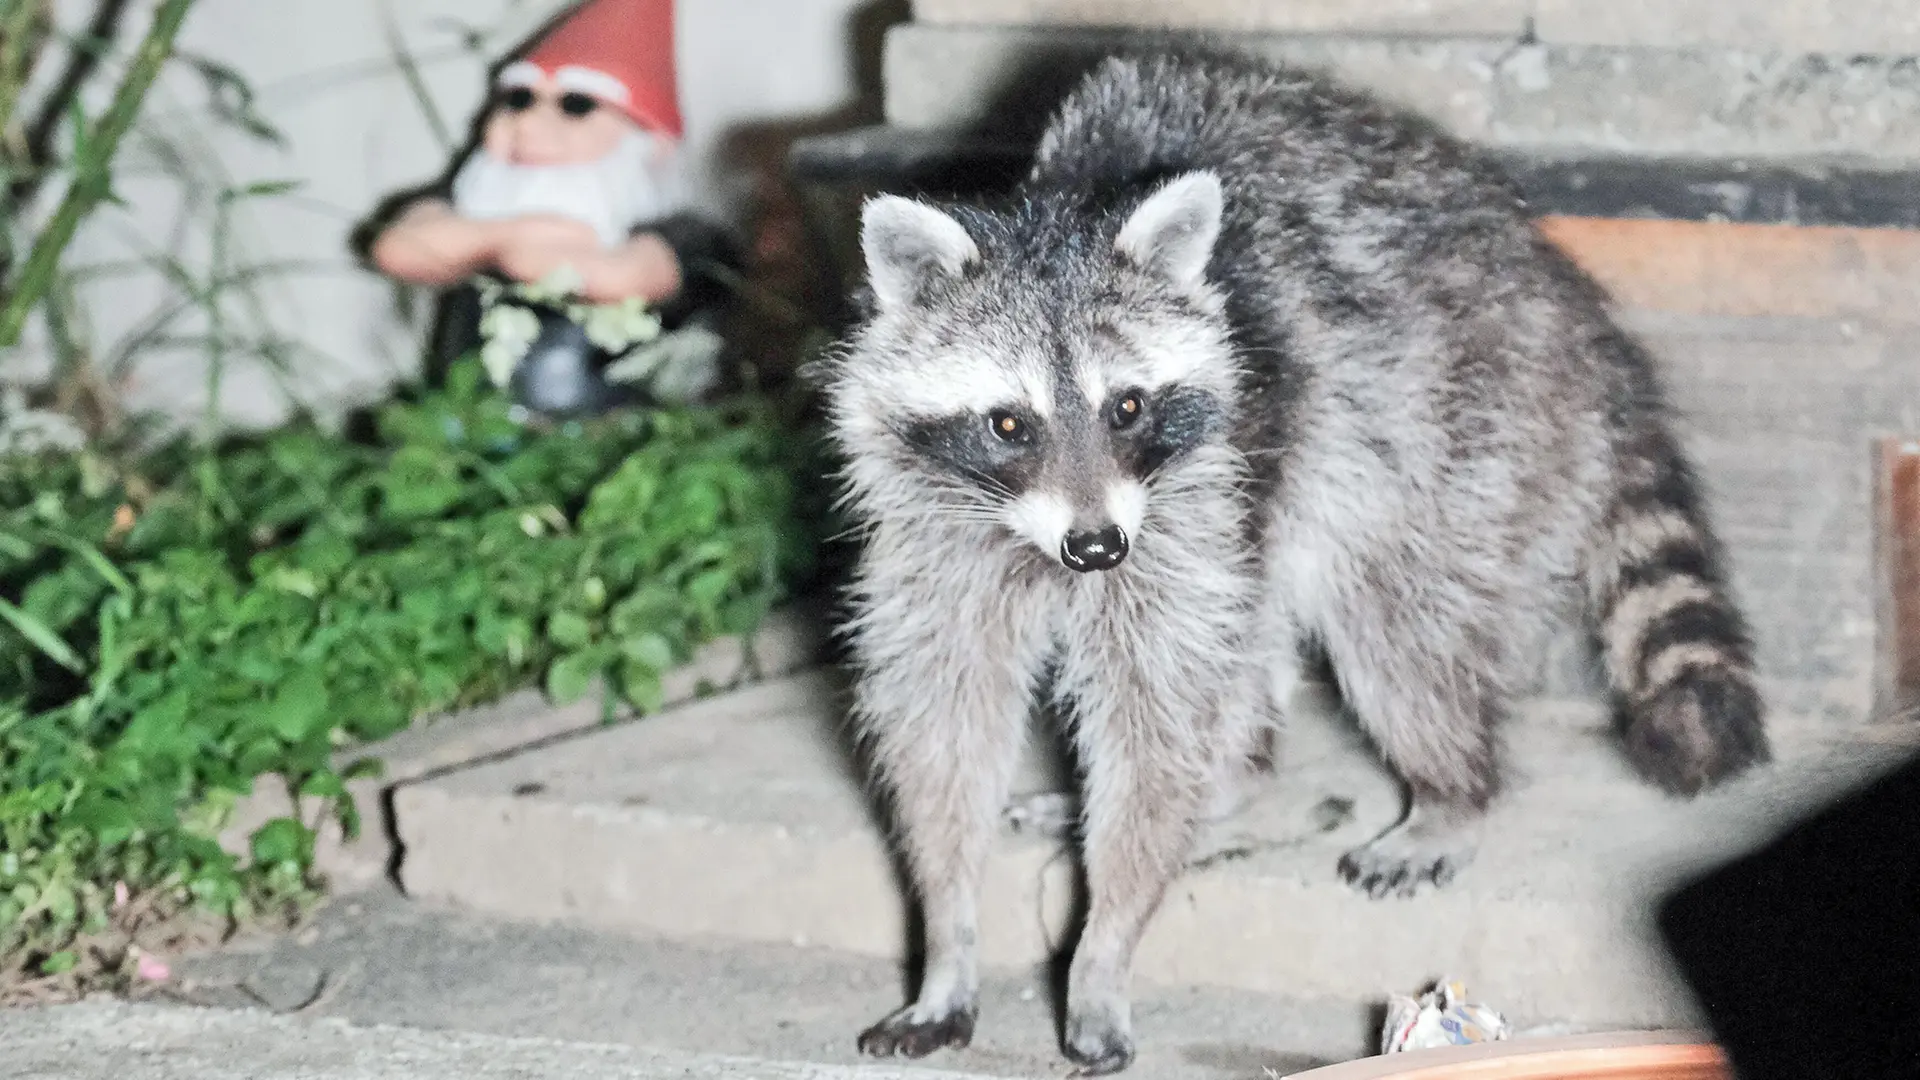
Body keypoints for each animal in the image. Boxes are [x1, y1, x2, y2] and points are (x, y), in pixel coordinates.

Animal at [815, 49, 1768, 1074]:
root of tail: (1561, 292)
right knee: (1257, 628)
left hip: (1448, 425)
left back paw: (1450, 791)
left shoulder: (1180, 505)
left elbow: (1154, 729)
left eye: (1127, 407)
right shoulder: (934, 535)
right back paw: (1239, 774)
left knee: (1394, 631)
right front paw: (947, 939)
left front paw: (1105, 945)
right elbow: (944, 724)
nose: (1097, 547)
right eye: (1007, 424)